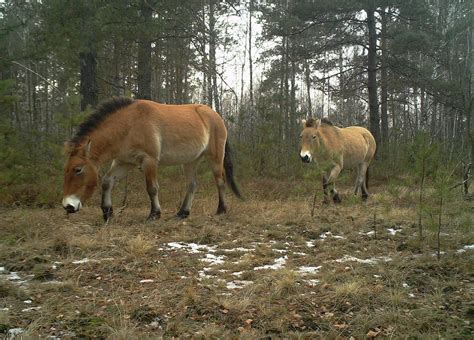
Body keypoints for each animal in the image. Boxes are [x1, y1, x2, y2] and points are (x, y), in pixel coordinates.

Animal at [62, 97, 241, 222]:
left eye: (78, 169)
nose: (68, 206)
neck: (128, 126)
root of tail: (217, 116)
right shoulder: (123, 162)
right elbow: (107, 182)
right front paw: (108, 213)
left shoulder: (149, 161)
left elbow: (152, 188)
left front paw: (154, 214)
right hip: (190, 161)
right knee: (192, 185)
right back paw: (182, 213)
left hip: (215, 157)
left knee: (220, 182)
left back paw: (221, 210)